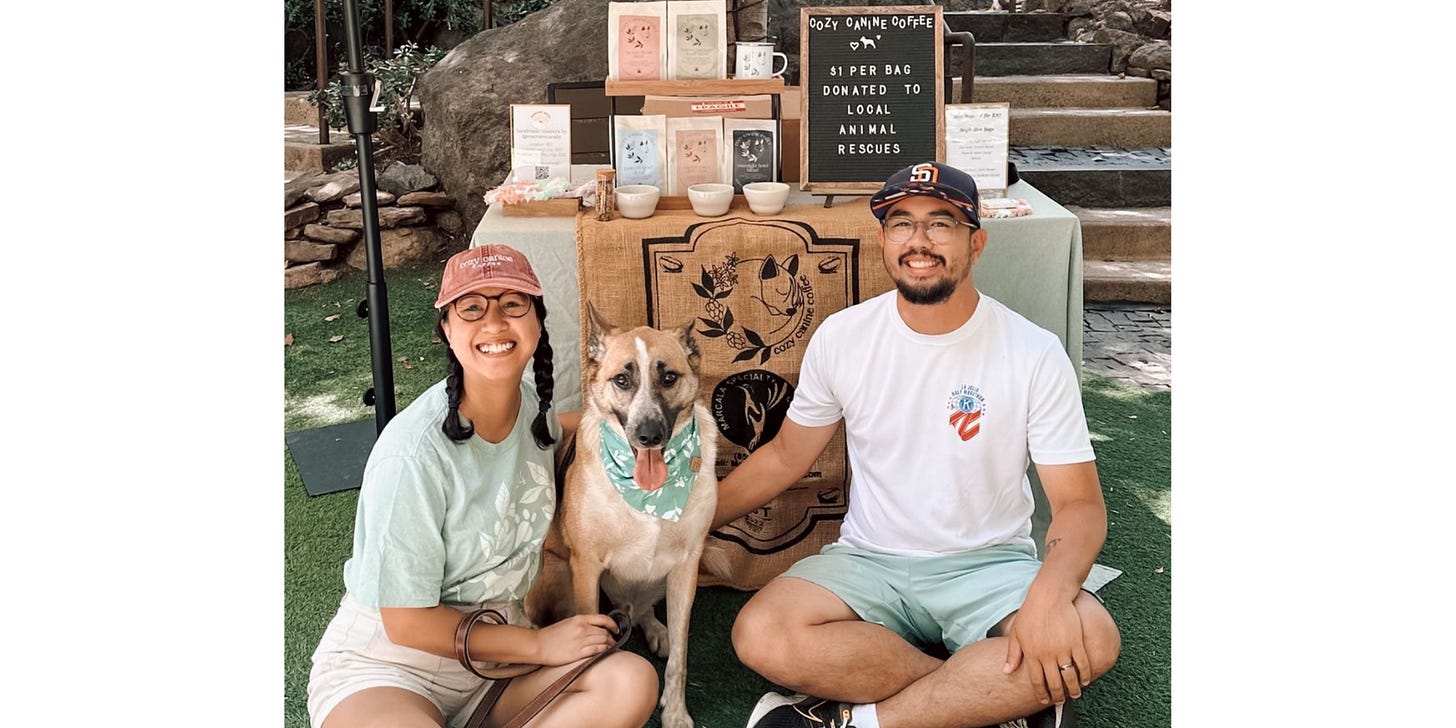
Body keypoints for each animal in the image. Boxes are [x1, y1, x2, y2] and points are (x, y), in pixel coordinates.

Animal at [529, 302, 722, 728]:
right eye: (622, 379)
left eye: (669, 377)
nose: (649, 435)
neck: (649, 496)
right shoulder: (585, 565)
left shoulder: (687, 566)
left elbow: (682, 653)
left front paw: (676, 712)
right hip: (558, 574)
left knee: (641, 610)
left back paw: (654, 629)